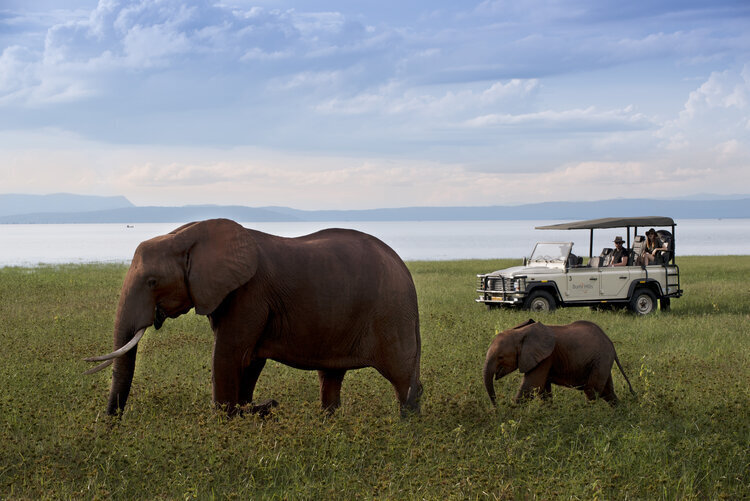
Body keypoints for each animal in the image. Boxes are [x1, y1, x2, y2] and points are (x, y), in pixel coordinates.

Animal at [88, 217, 424, 416]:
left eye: (152, 282)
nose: (112, 425)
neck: (187, 234)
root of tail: (406, 270)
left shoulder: (250, 293)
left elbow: (228, 355)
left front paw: (225, 424)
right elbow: (248, 360)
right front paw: (242, 415)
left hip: (391, 314)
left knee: (402, 376)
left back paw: (408, 428)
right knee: (331, 377)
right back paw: (329, 423)